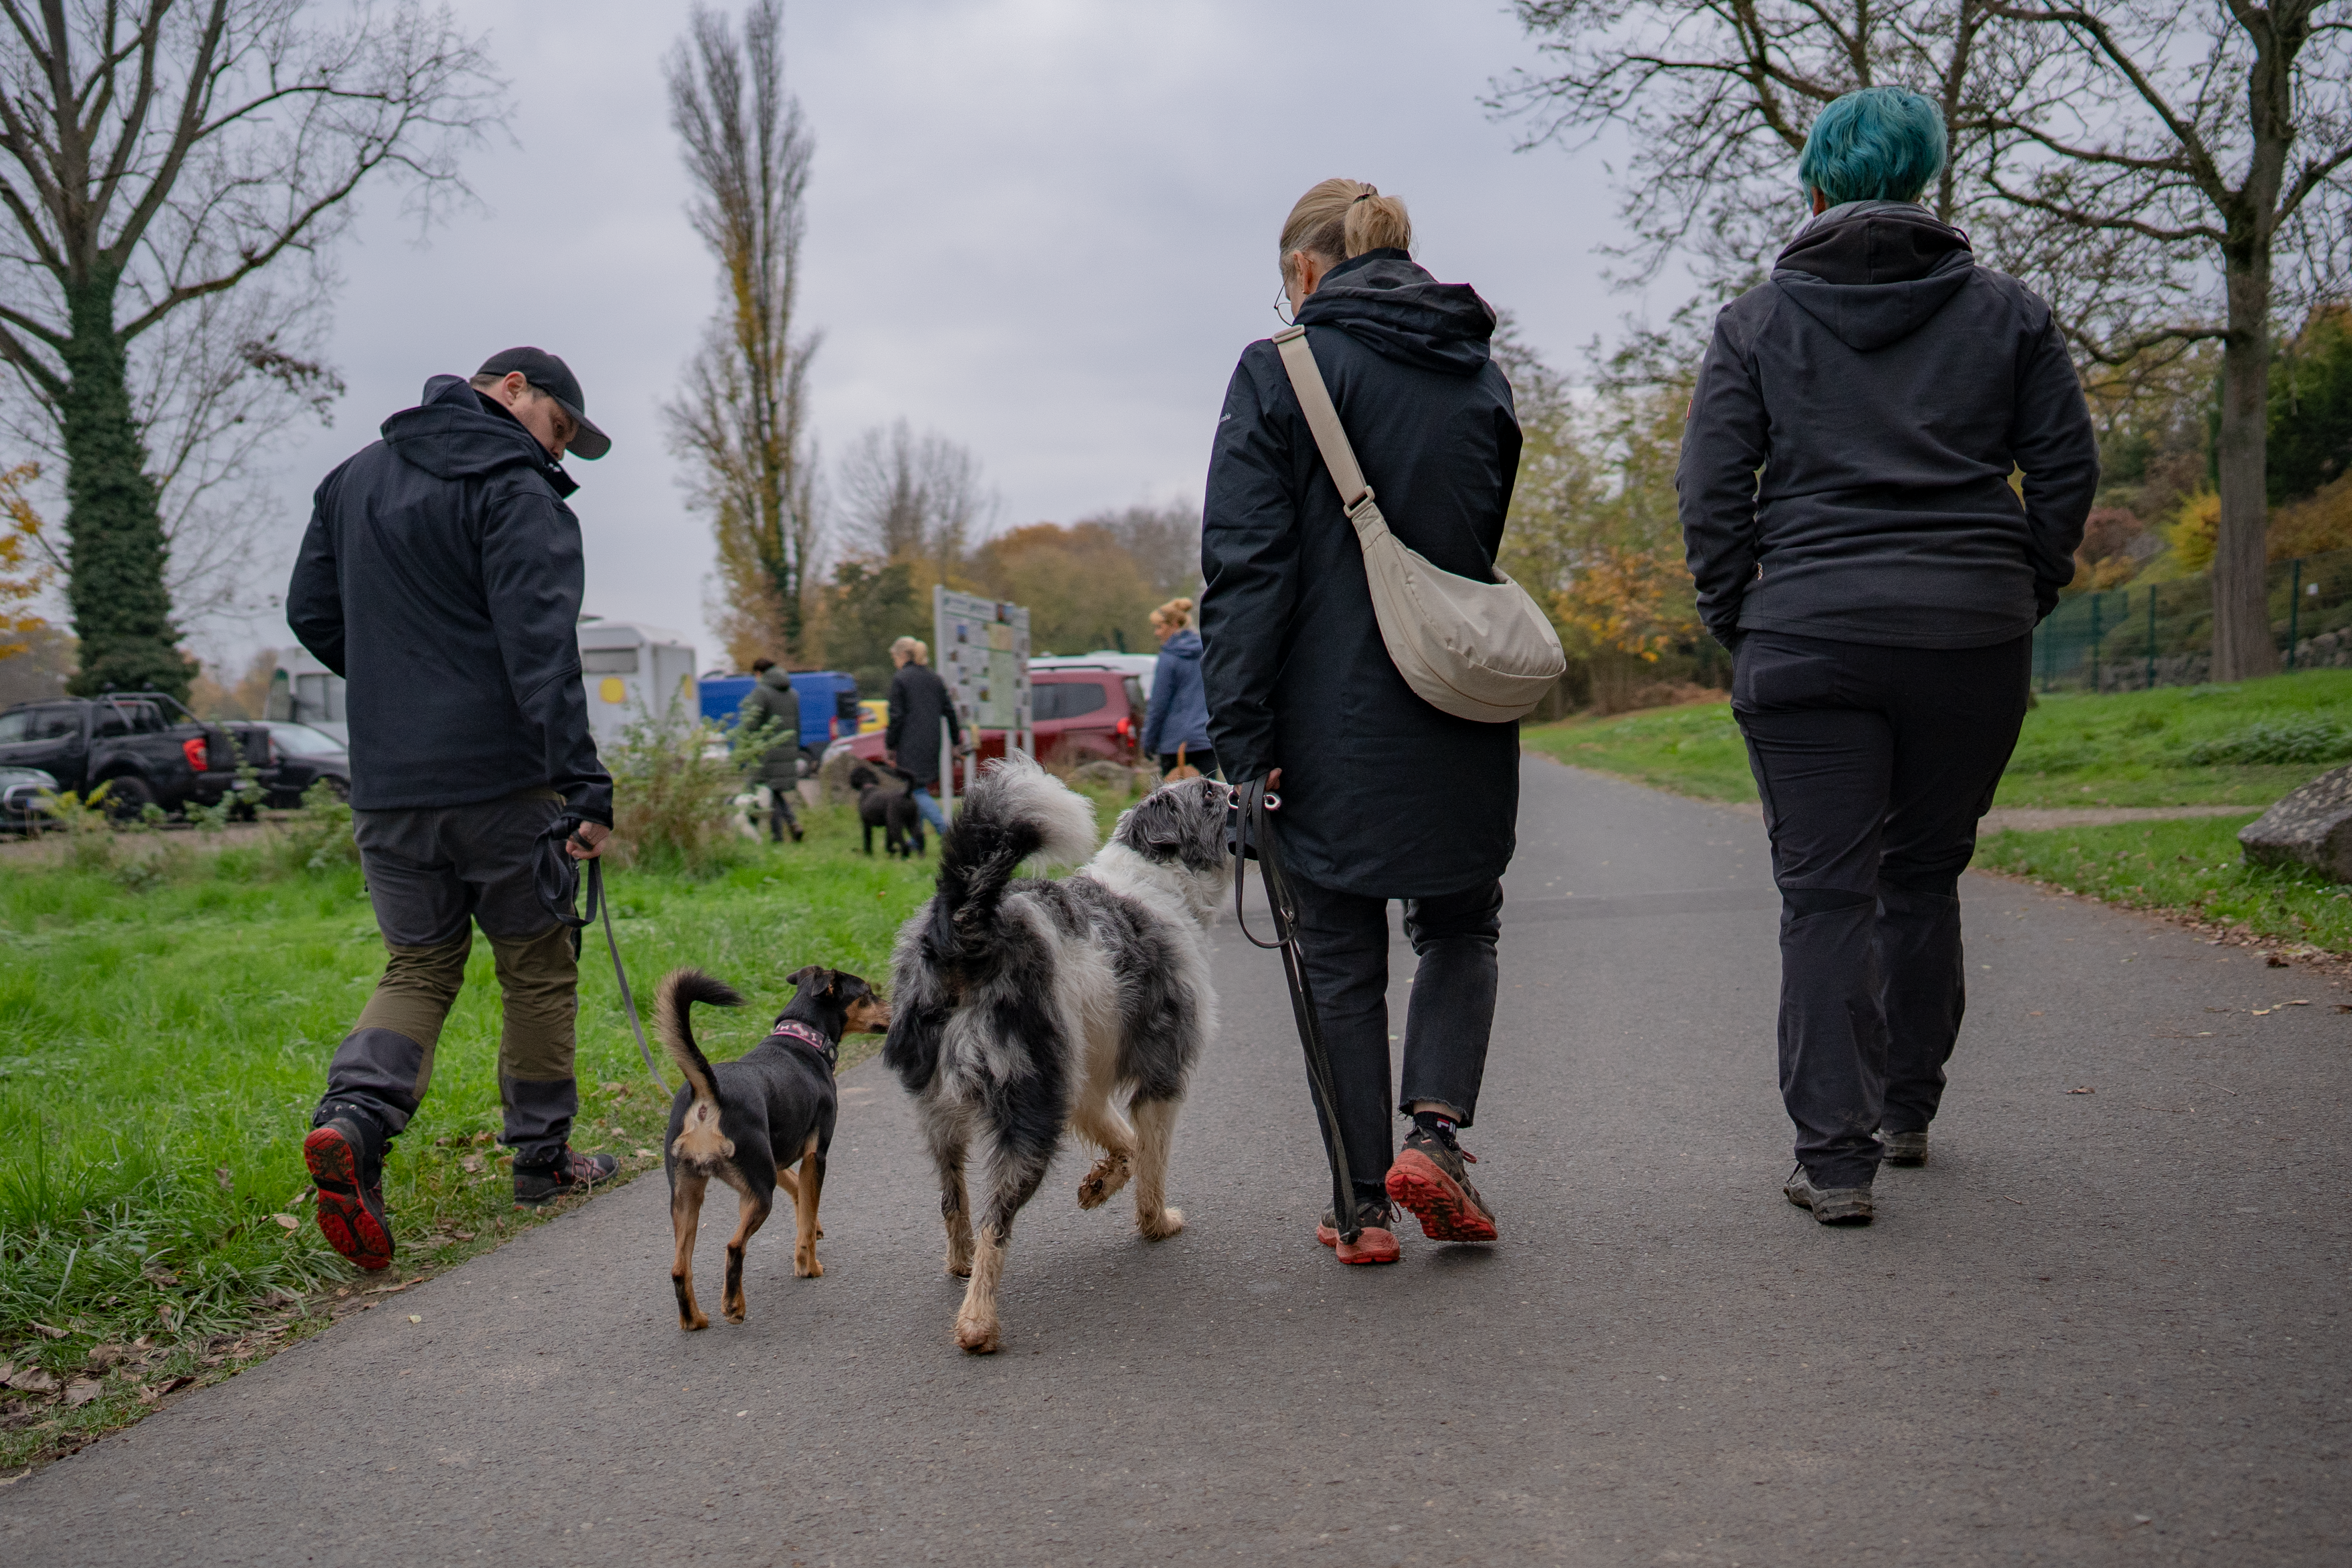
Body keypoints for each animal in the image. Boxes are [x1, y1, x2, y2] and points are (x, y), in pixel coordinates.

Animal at [663, 964, 889, 1335]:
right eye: (868, 993)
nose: (895, 1008)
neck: (802, 1038)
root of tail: (708, 1095)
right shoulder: (815, 1155)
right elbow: (806, 1217)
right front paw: (809, 1266)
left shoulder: (778, 1159)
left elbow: (802, 1198)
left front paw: (814, 1228)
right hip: (759, 1193)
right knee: (734, 1247)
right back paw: (734, 1306)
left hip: (689, 1196)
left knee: (680, 1268)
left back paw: (693, 1319)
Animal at [847, 761, 917, 860]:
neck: (868, 786)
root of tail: (906, 794)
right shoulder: (888, 826)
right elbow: (889, 842)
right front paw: (891, 854)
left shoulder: (867, 824)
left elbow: (868, 840)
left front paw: (868, 854)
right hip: (912, 822)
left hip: (896, 826)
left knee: (904, 845)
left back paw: (903, 857)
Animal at [884, 752, 1242, 1354]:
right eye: (1213, 796)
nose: (1251, 790)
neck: (1159, 881)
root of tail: (966, 927)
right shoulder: (1161, 1077)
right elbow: (1153, 1159)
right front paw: (1157, 1223)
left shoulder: (1088, 1086)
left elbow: (1127, 1146)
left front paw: (1098, 1186)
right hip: (1032, 1108)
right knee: (995, 1221)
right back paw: (977, 1323)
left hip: (942, 1114)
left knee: (953, 1202)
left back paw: (960, 1263)